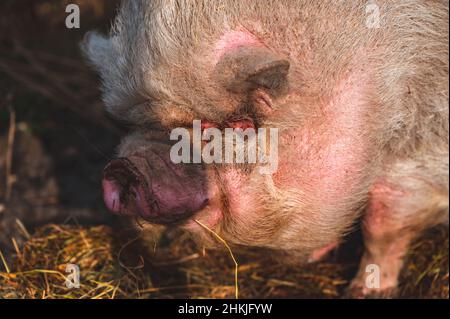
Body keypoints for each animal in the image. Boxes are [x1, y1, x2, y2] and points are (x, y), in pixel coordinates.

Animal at [81, 0, 450, 298]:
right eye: (133, 124)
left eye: (241, 125)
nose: (126, 168)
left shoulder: (423, 150)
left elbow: (382, 225)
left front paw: (361, 293)